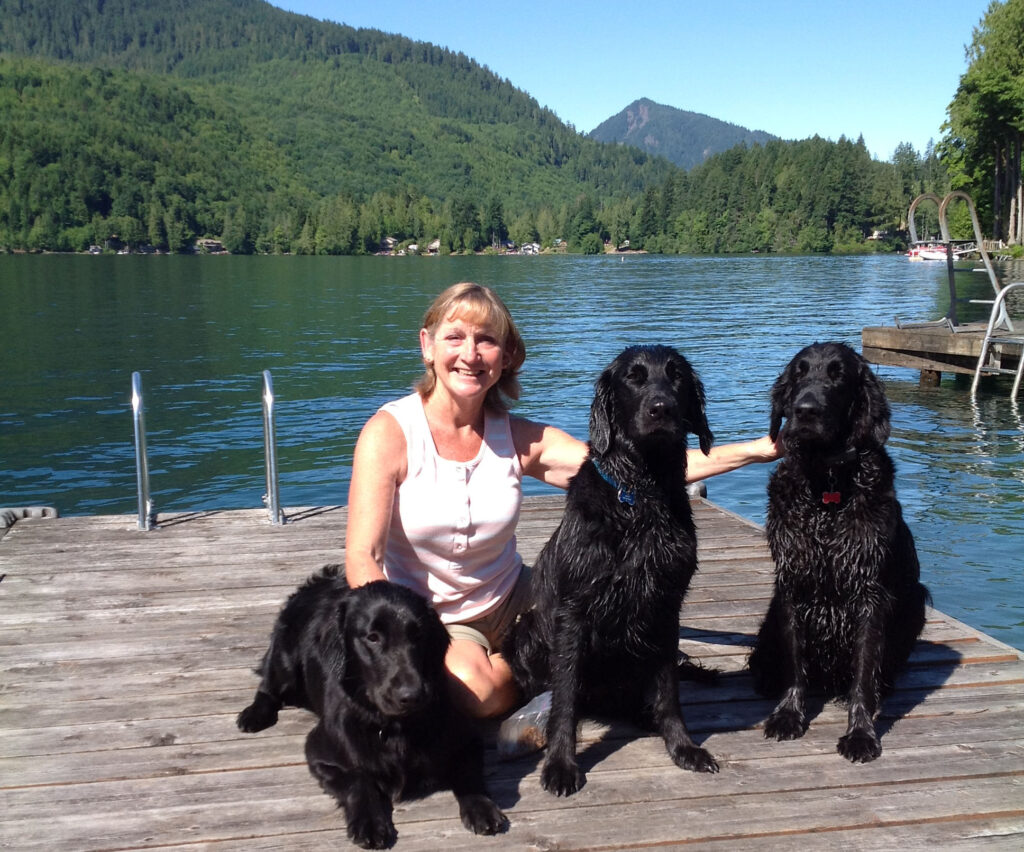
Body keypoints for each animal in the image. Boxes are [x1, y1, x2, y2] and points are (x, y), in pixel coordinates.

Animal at [236, 565, 507, 852]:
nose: (411, 696)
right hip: (285, 662)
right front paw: (370, 823)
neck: (394, 727)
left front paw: (482, 808)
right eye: (372, 638)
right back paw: (253, 715)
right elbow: (359, 780)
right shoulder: (320, 754)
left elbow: (467, 772)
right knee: (267, 686)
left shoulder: (468, 740)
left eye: (418, 635)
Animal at [505, 342, 720, 794]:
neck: (641, 495)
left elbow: (669, 690)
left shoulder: (666, 604)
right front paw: (561, 764)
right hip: (526, 634)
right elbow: (565, 699)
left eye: (676, 377)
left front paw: (683, 747)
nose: (661, 409)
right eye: (634, 378)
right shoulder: (573, 610)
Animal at [749, 342, 933, 761]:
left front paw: (861, 733)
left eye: (839, 375)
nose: (805, 410)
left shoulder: (869, 592)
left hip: (915, 599)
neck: (827, 487)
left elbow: (864, 672)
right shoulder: (792, 583)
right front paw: (789, 714)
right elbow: (795, 663)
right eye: (799, 373)